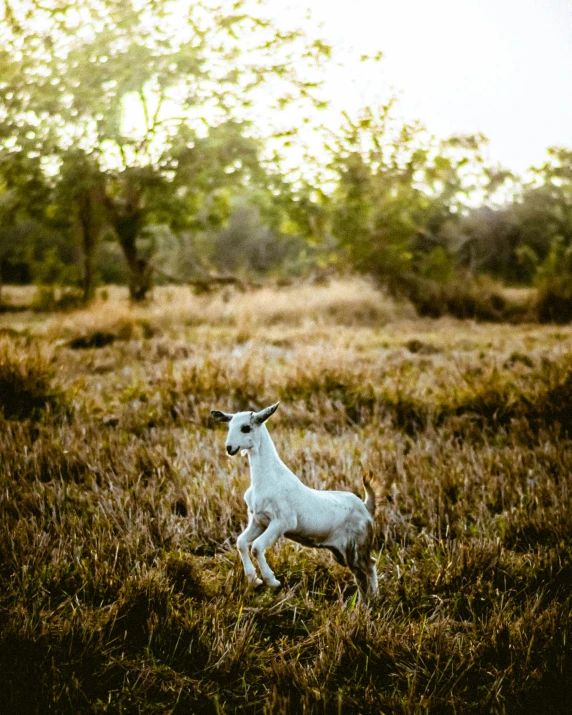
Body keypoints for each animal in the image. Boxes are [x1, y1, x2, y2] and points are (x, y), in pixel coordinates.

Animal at [212, 402, 378, 600]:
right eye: (229, 426)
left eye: (246, 427)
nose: (230, 448)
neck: (267, 478)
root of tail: (366, 508)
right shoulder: (258, 520)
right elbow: (242, 543)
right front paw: (254, 580)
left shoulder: (283, 522)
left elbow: (257, 547)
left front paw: (272, 581)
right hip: (342, 553)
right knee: (367, 569)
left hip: (356, 548)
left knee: (367, 569)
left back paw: (367, 602)